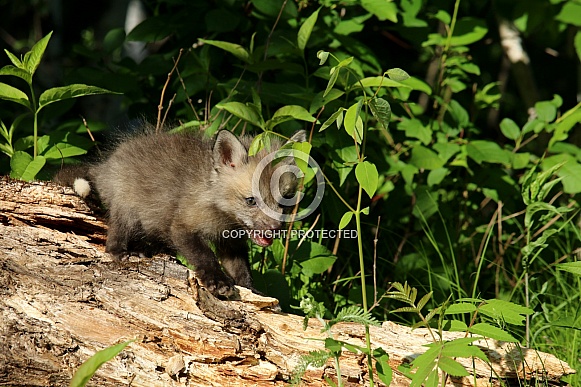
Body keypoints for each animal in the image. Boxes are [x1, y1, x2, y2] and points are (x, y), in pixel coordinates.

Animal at [55, 129, 306, 298]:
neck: (222, 216)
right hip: (126, 209)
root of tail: (105, 165)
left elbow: (241, 269)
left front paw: (252, 290)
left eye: (284, 201)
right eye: (251, 201)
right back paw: (120, 252)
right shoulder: (182, 227)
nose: (276, 229)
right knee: (115, 233)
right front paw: (217, 281)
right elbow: (205, 255)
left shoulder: (231, 242)